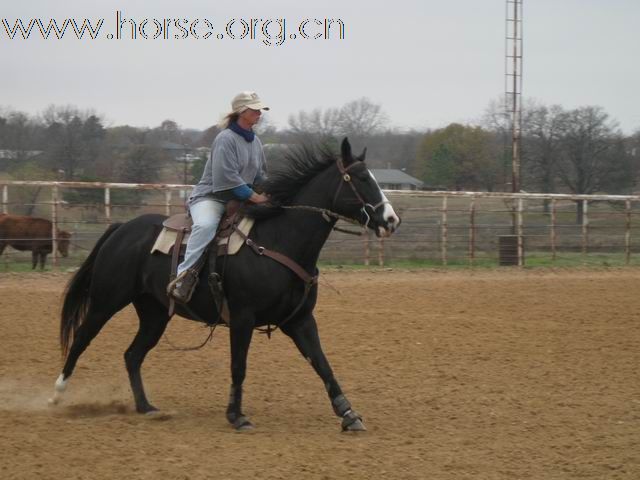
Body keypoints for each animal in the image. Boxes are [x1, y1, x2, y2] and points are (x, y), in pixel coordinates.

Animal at [48, 138, 400, 432]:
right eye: (361, 179)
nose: (391, 220)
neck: (278, 240)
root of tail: (121, 228)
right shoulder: (242, 318)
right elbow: (238, 366)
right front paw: (236, 415)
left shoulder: (300, 320)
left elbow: (322, 364)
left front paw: (349, 414)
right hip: (106, 300)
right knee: (82, 338)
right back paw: (56, 395)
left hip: (154, 313)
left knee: (133, 355)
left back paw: (146, 407)